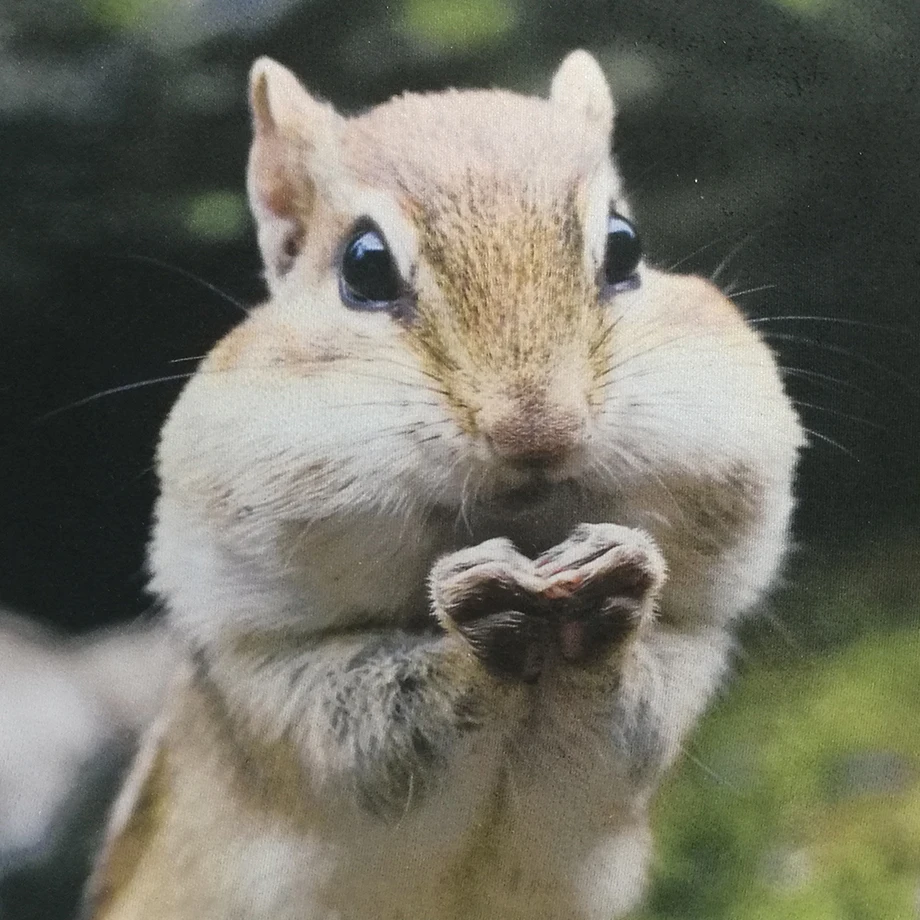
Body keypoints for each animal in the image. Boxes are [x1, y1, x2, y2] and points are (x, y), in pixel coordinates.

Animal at [84, 50, 803, 920]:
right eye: (363, 265)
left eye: (627, 247)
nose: (538, 429)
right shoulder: (272, 681)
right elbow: (383, 736)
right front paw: (477, 614)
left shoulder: (683, 666)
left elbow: (624, 722)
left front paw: (612, 586)